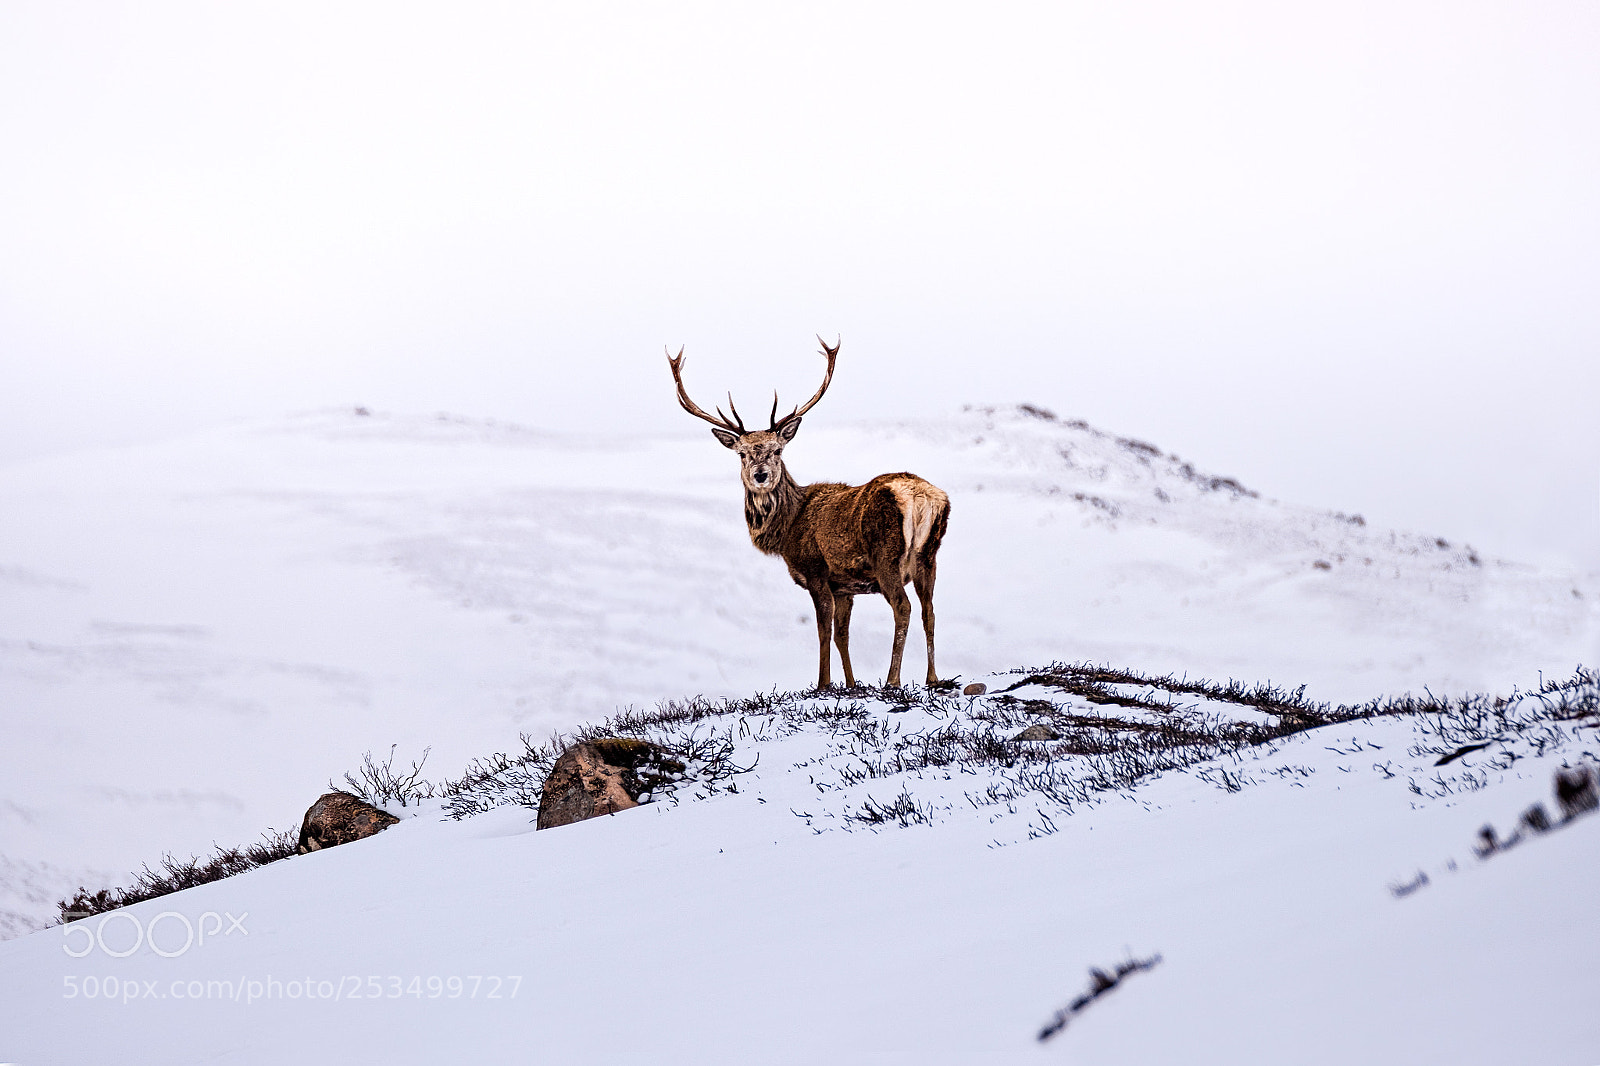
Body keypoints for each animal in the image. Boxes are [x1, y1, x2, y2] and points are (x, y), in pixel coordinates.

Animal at [666, 337, 950, 690]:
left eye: (777, 450)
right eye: (743, 454)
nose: (760, 474)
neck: (786, 529)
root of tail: (922, 497)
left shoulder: (815, 569)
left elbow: (823, 630)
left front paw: (823, 683)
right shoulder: (845, 586)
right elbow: (842, 634)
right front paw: (852, 684)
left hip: (887, 554)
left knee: (903, 607)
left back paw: (893, 680)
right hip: (929, 556)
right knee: (930, 611)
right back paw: (933, 678)